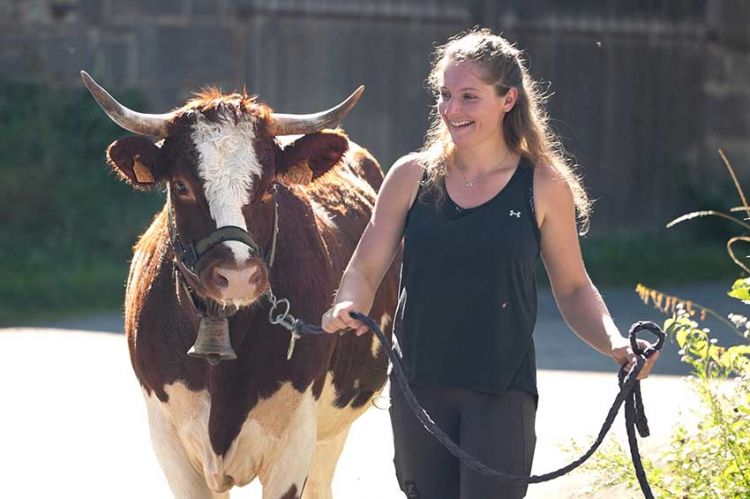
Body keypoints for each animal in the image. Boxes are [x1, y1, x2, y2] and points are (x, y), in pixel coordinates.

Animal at [81, 71, 400, 499]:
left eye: (268, 186)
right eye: (181, 185)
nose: (237, 275)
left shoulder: (293, 448)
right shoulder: (172, 447)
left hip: (330, 435)